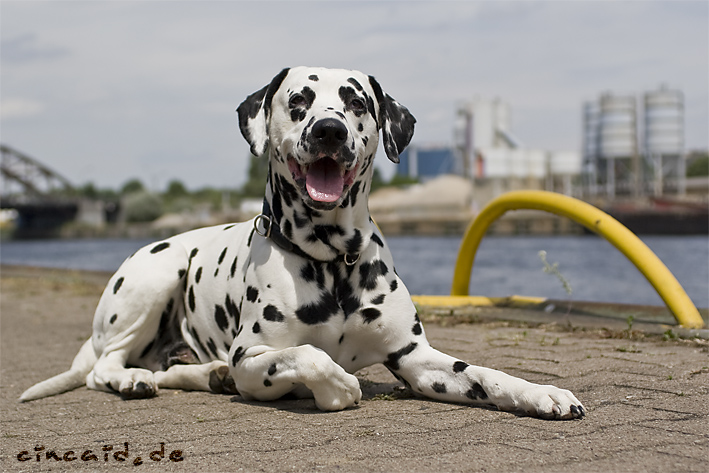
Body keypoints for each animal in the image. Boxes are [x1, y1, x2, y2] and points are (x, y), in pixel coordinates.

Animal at [20, 64, 588, 418]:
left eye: (356, 102)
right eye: (299, 100)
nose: (329, 131)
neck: (332, 257)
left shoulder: (416, 359)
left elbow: (488, 374)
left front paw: (542, 392)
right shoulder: (252, 357)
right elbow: (313, 358)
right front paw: (338, 388)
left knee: (173, 369)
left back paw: (202, 375)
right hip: (155, 277)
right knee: (105, 367)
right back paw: (131, 379)